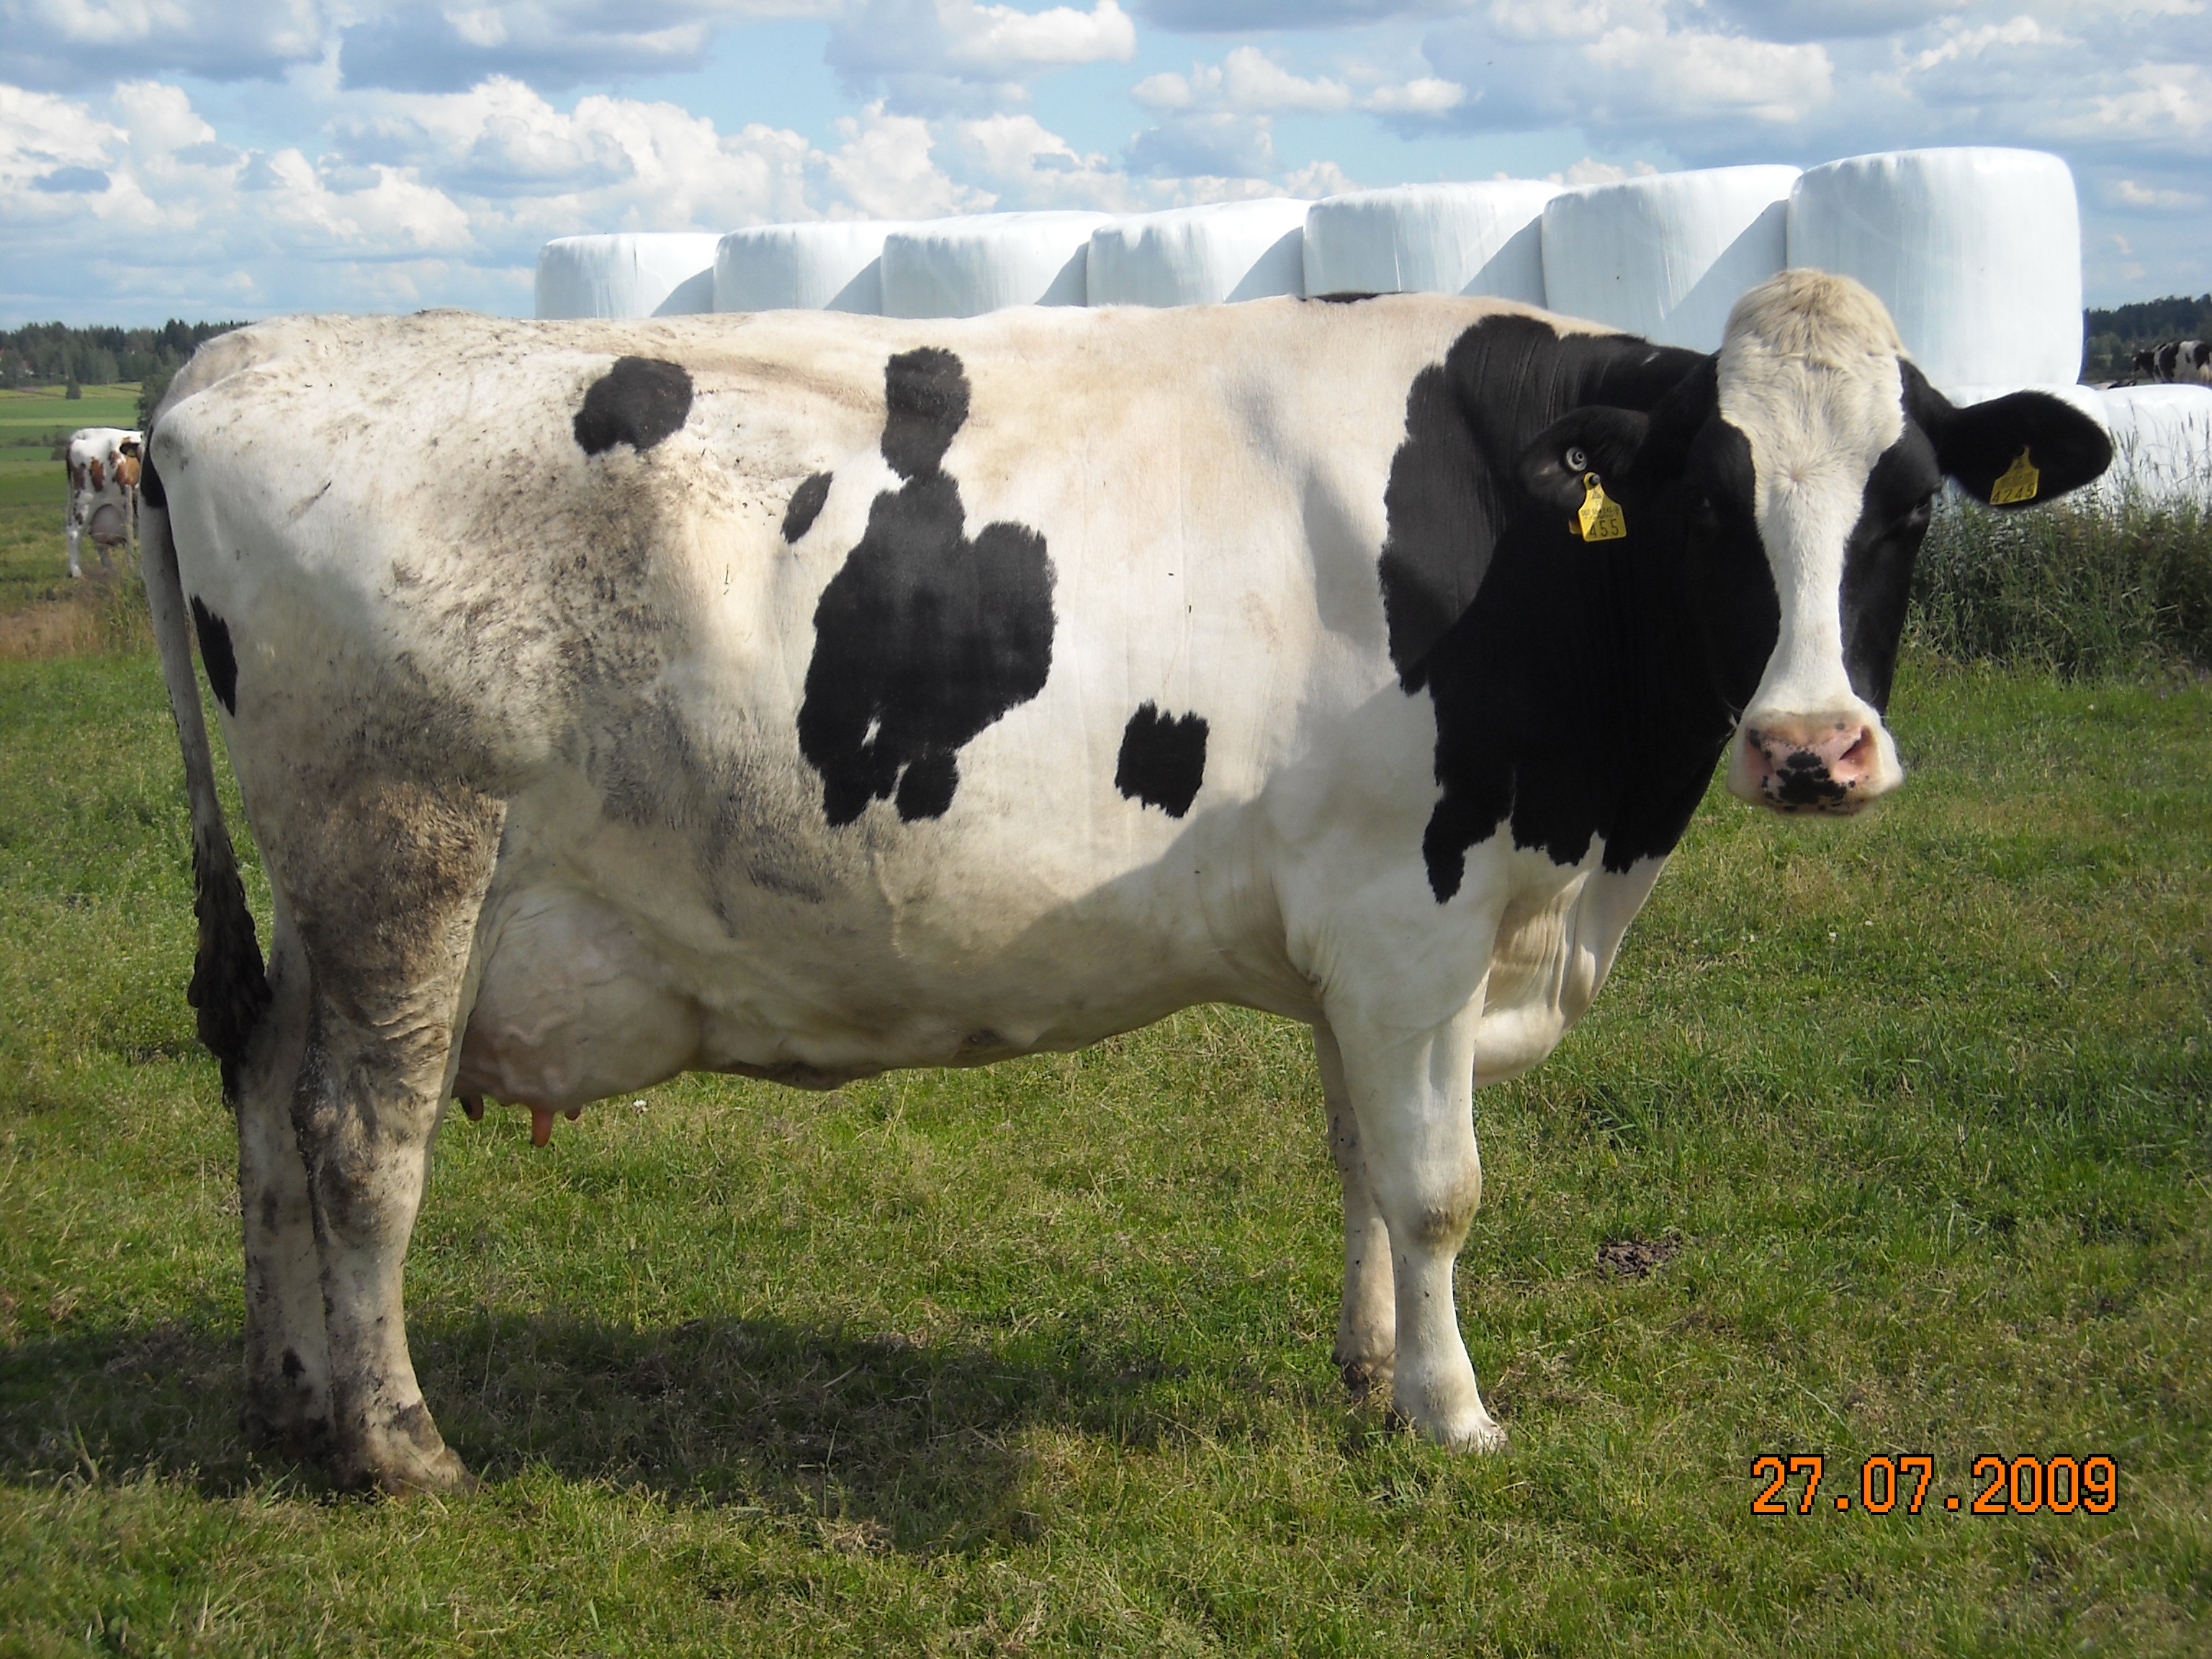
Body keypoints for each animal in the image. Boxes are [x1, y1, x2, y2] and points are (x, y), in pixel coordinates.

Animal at [140, 270, 2111, 1492]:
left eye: (1906, 507)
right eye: (1714, 504)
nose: (1811, 748)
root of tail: (232, 361)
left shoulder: (1359, 946)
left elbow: (1358, 1160)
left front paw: (1366, 1369)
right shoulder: (1410, 918)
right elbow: (1438, 1187)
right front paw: (1452, 1413)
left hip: (329, 892)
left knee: (265, 1095)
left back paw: (288, 1399)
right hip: (409, 846)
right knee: (361, 1136)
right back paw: (398, 1441)